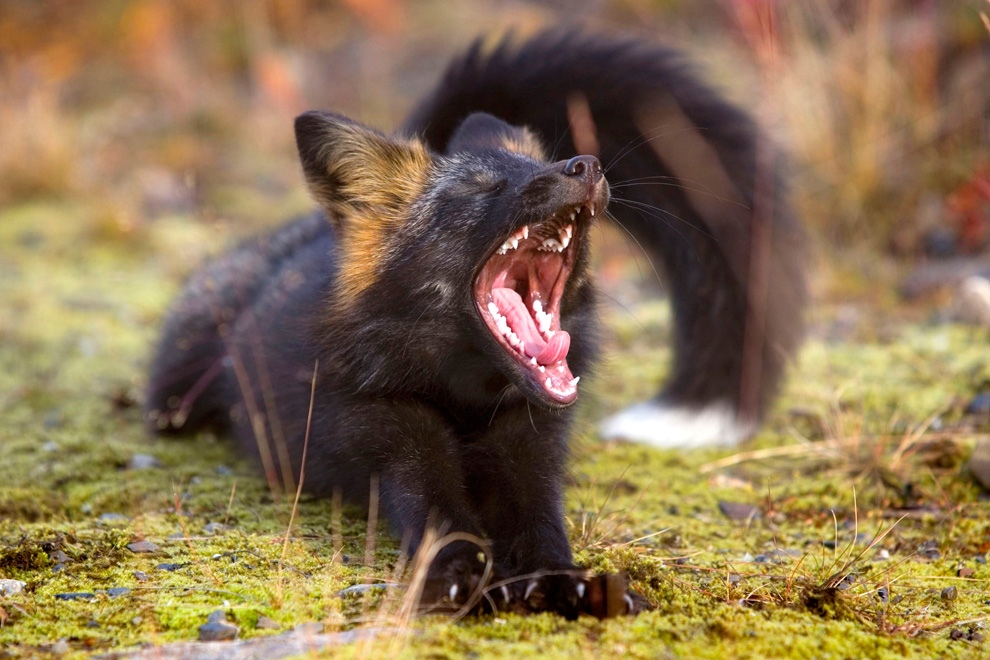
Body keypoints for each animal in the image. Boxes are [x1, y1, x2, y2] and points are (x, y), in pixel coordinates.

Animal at [151, 31, 808, 620]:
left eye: (538, 164)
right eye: (481, 187)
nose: (586, 164)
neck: (466, 404)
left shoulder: (532, 442)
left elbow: (541, 526)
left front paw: (563, 582)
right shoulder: (389, 433)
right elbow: (443, 520)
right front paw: (467, 582)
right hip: (174, 390)